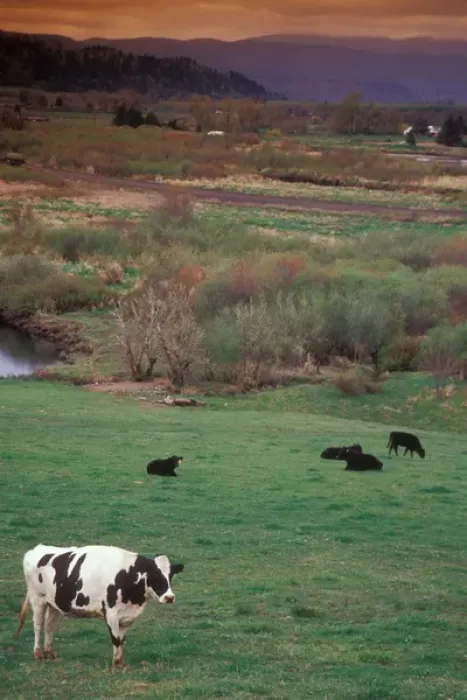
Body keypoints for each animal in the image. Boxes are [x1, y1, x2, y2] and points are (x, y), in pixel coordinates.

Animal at [15, 544, 184, 667]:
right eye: (155, 575)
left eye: (170, 575)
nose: (169, 597)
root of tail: (36, 548)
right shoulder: (111, 612)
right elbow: (116, 639)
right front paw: (116, 664)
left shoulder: (126, 616)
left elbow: (121, 639)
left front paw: (120, 662)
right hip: (37, 599)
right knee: (38, 625)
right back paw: (38, 653)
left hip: (54, 603)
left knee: (49, 626)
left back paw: (49, 653)